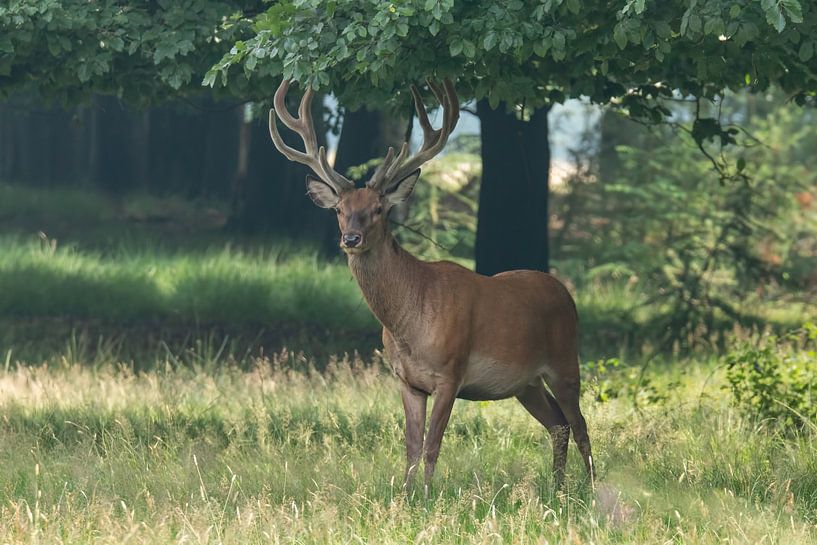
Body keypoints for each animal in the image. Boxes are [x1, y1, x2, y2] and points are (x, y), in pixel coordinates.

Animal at [267, 78, 593, 492]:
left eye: (378, 209)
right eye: (339, 210)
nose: (350, 239)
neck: (409, 325)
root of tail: (566, 293)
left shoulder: (451, 373)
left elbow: (432, 446)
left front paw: (427, 496)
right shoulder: (406, 380)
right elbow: (411, 445)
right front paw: (405, 496)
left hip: (566, 362)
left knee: (581, 426)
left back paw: (591, 489)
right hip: (526, 384)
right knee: (559, 424)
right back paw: (557, 488)